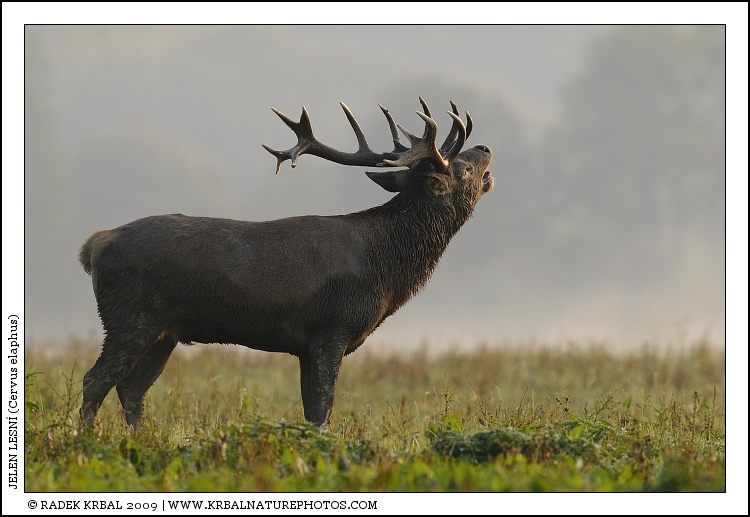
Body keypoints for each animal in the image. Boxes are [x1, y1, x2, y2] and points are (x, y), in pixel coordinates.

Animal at [78, 97, 494, 428]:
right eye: (463, 169)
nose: (486, 147)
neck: (387, 270)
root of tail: (93, 246)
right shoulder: (331, 328)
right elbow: (323, 411)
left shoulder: (306, 344)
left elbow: (311, 413)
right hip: (130, 317)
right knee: (94, 381)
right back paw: (84, 440)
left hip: (166, 330)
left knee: (131, 388)